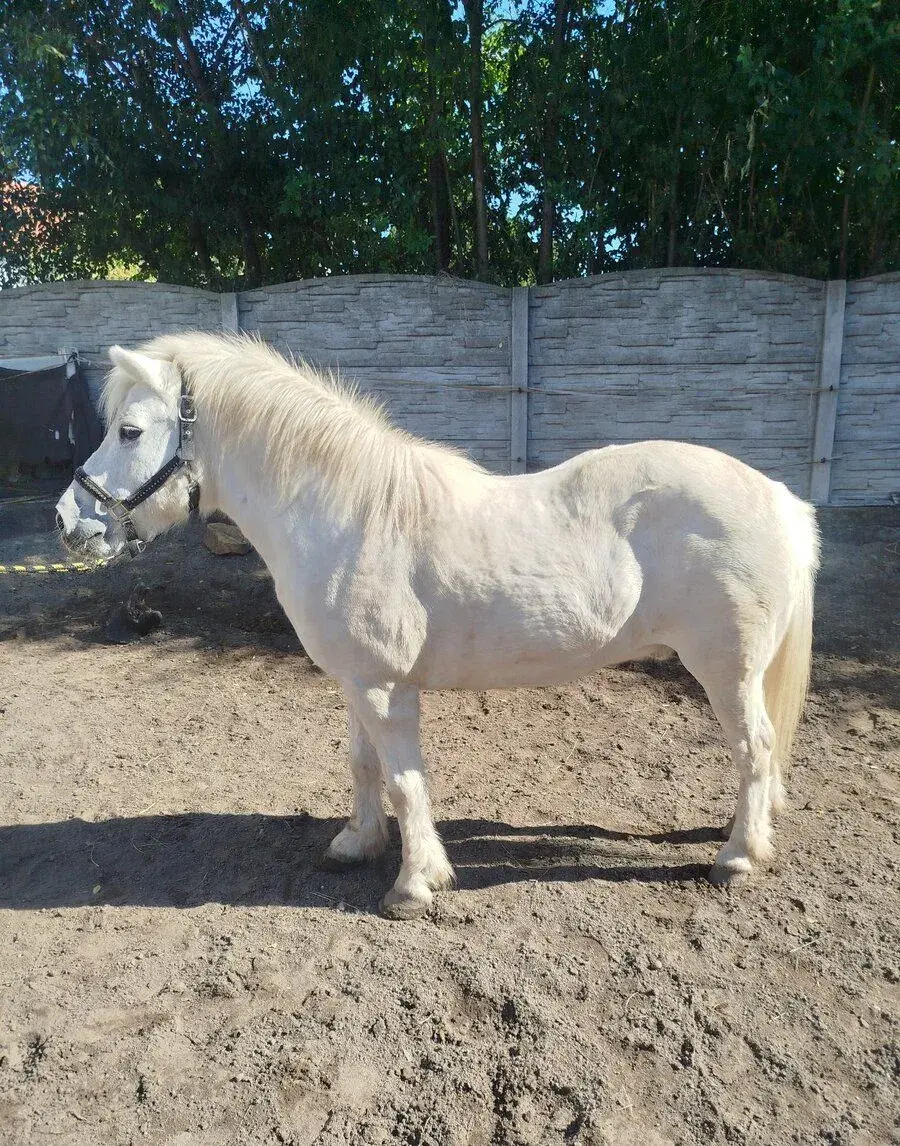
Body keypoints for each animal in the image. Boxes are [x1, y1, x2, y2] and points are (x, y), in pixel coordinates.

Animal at [56, 333, 820, 919]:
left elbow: (405, 780)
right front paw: (356, 843)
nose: (68, 521)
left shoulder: (385, 687)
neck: (351, 514)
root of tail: (779, 499)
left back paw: (738, 857)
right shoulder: (356, 680)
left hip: (727, 670)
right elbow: (362, 763)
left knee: (755, 748)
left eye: (129, 431)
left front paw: (414, 884)